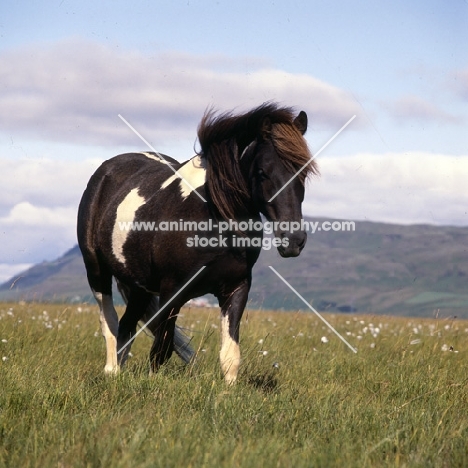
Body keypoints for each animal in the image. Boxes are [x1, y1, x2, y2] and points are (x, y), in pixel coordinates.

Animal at [77, 103, 318, 384]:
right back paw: (111, 372)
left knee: (126, 328)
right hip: (97, 272)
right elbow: (160, 350)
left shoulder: (236, 288)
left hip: (139, 286)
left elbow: (230, 355)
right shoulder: (172, 292)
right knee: (111, 324)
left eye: (304, 171)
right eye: (262, 172)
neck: (213, 215)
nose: (293, 241)